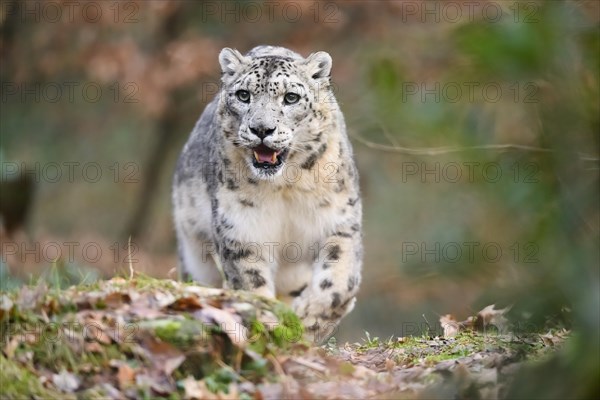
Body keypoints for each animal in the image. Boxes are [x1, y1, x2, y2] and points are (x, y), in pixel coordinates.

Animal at [171, 46, 364, 340]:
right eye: (243, 95)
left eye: (291, 97)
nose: (262, 129)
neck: (285, 187)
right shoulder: (241, 228)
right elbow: (252, 283)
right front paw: (270, 326)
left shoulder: (339, 221)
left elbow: (340, 281)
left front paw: (309, 319)